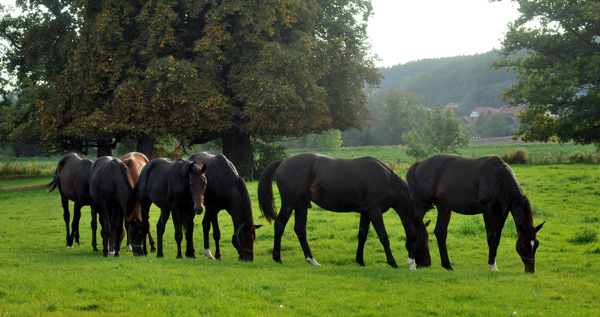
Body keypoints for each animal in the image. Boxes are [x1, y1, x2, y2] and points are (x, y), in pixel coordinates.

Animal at [255, 152, 428, 268]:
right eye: (422, 239)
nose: (425, 264)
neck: (388, 181)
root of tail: (283, 162)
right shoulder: (375, 212)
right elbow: (383, 237)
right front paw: (393, 263)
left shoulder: (366, 213)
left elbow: (362, 236)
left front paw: (360, 261)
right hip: (289, 204)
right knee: (279, 226)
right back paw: (278, 258)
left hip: (301, 205)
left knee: (300, 230)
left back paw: (312, 260)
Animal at [408, 153, 544, 272]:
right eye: (524, 243)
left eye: (536, 244)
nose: (530, 269)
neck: (496, 178)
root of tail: (419, 164)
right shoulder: (488, 210)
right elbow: (492, 237)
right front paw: (492, 266)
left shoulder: (502, 214)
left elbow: (497, 239)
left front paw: (494, 263)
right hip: (422, 205)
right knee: (413, 230)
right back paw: (412, 264)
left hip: (443, 207)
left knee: (440, 232)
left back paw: (447, 266)